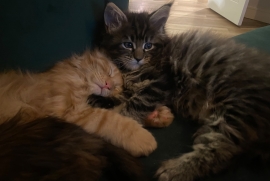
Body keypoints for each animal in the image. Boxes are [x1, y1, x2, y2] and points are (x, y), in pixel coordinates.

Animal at [0, 49, 156, 157]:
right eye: (110, 72)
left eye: (116, 88)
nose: (108, 85)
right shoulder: (69, 112)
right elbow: (113, 121)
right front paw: (144, 139)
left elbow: (122, 110)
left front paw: (155, 116)